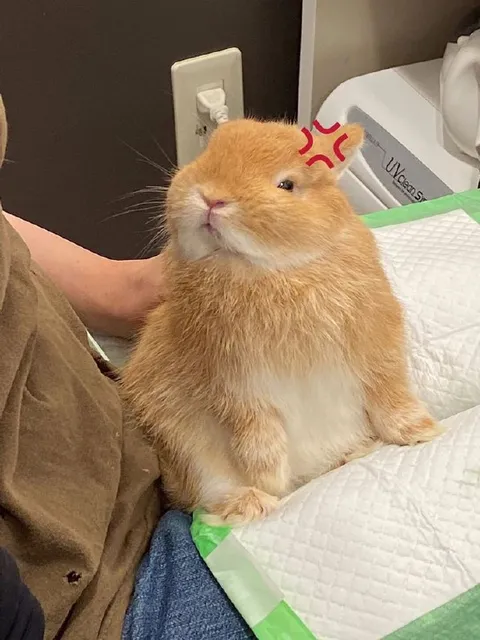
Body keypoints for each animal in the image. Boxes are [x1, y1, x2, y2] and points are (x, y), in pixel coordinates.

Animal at [121, 118, 441, 526]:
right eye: (208, 154)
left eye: (287, 185)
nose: (211, 198)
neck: (269, 270)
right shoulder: (231, 384)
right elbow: (255, 430)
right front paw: (269, 477)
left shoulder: (375, 343)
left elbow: (389, 392)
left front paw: (421, 432)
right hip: (186, 447)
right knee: (205, 496)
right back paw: (251, 502)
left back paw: (354, 453)